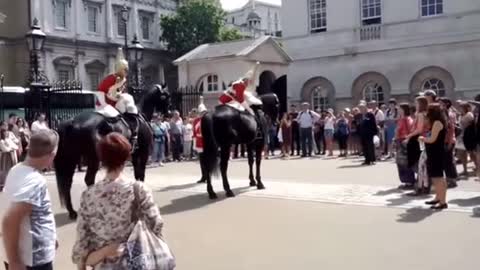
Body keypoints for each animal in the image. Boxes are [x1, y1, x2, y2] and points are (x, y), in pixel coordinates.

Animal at [54, 85, 170, 219]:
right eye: (167, 96)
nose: (169, 113)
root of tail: (72, 122)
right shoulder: (144, 153)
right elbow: (141, 175)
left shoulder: (135, 154)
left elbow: (137, 175)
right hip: (93, 159)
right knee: (88, 179)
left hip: (72, 158)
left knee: (68, 183)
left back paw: (72, 212)